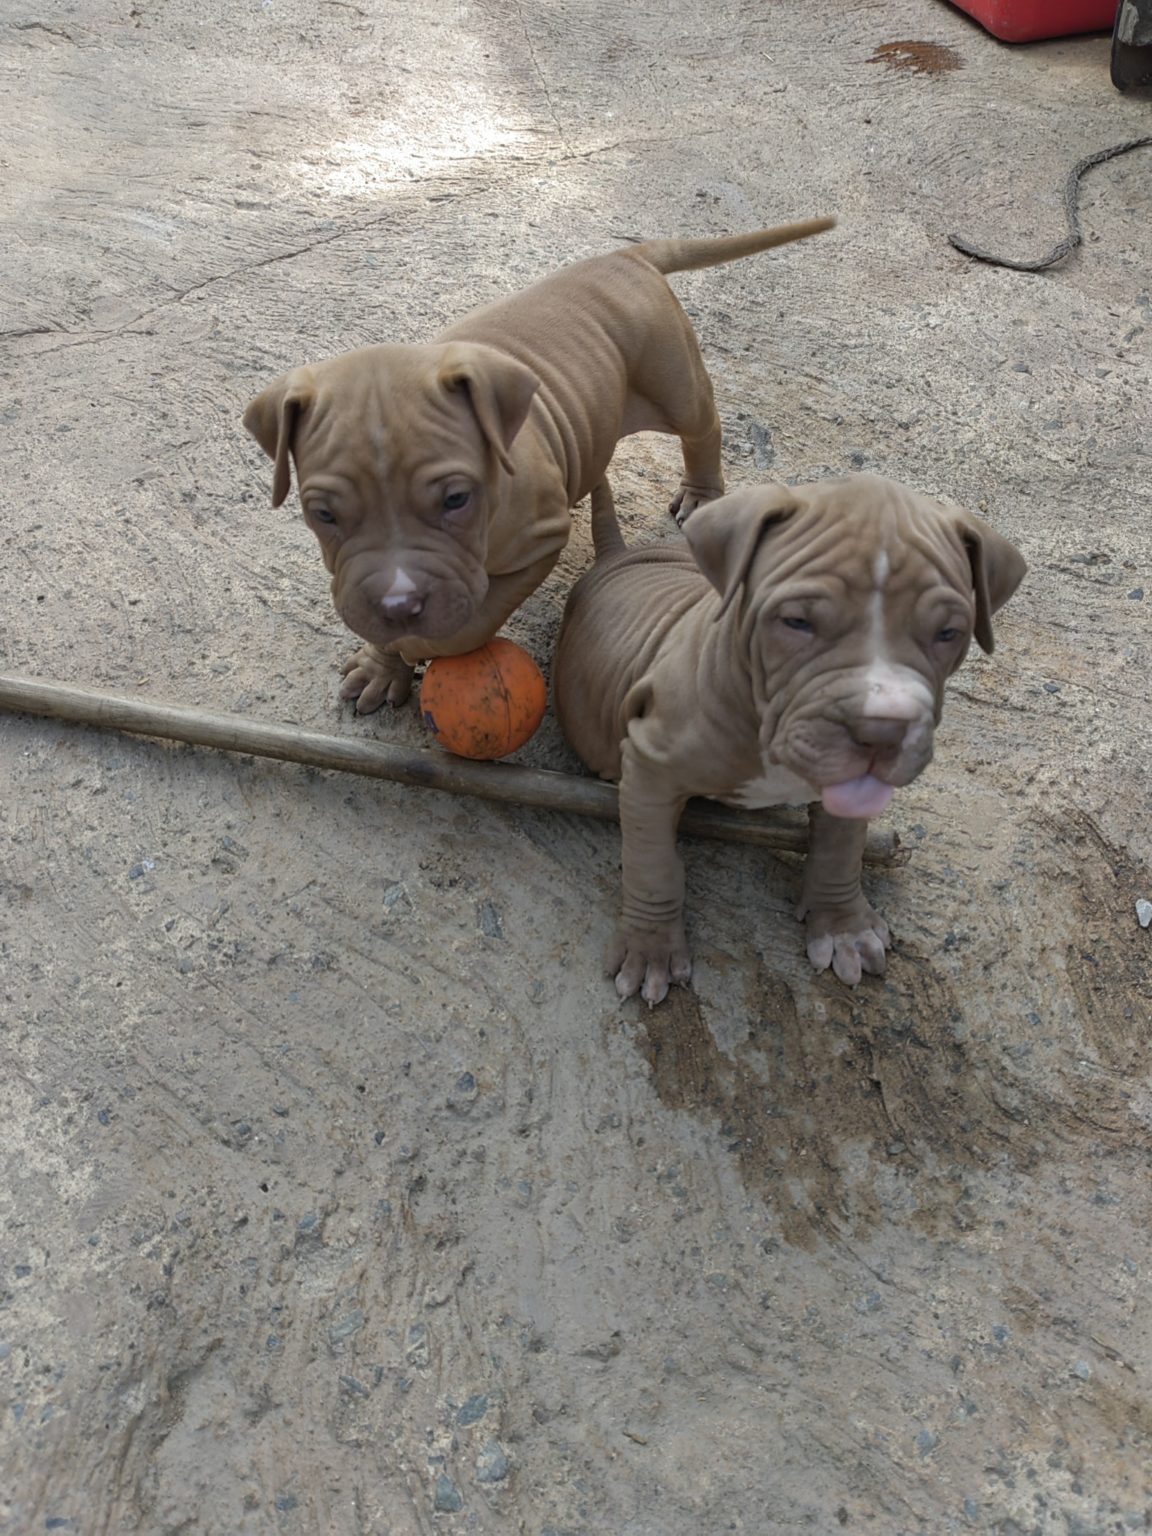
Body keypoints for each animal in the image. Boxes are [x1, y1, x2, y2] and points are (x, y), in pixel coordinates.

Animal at [248, 219, 835, 709]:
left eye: (456, 500)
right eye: (323, 515)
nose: (398, 604)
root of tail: (627, 257)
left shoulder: (537, 543)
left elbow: (472, 623)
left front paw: (421, 644)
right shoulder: (359, 573)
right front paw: (382, 664)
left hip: (670, 374)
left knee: (701, 425)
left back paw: (702, 494)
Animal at [556, 479, 1032, 1007]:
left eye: (949, 633)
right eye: (796, 622)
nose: (882, 730)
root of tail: (616, 556)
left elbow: (841, 845)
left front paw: (843, 927)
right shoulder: (650, 766)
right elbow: (653, 865)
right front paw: (650, 951)